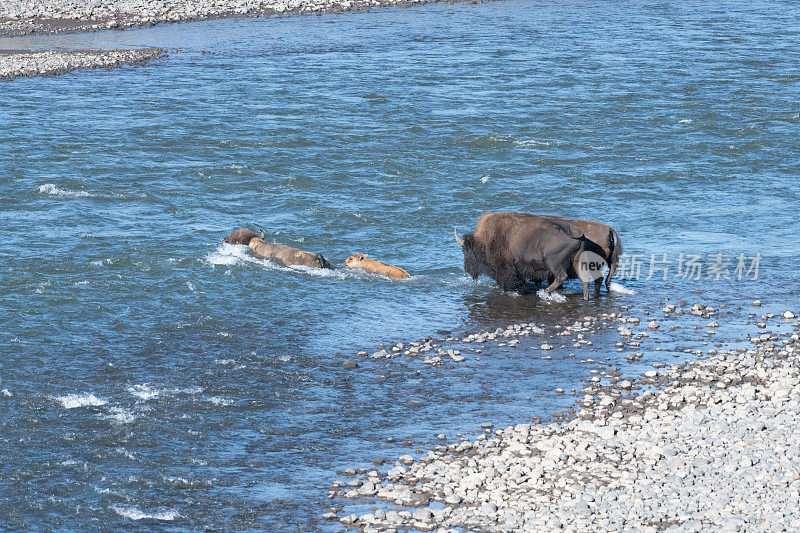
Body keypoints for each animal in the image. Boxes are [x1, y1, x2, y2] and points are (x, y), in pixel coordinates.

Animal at [454, 210, 592, 298]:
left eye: (464, 251)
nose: (466, 268)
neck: (485, 240)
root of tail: (575, 233)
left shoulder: (505, 271)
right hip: (577, 262)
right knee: (583, 280)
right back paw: (585, 298)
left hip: (553, 263)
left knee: (561, 277)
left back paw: (544, 292)